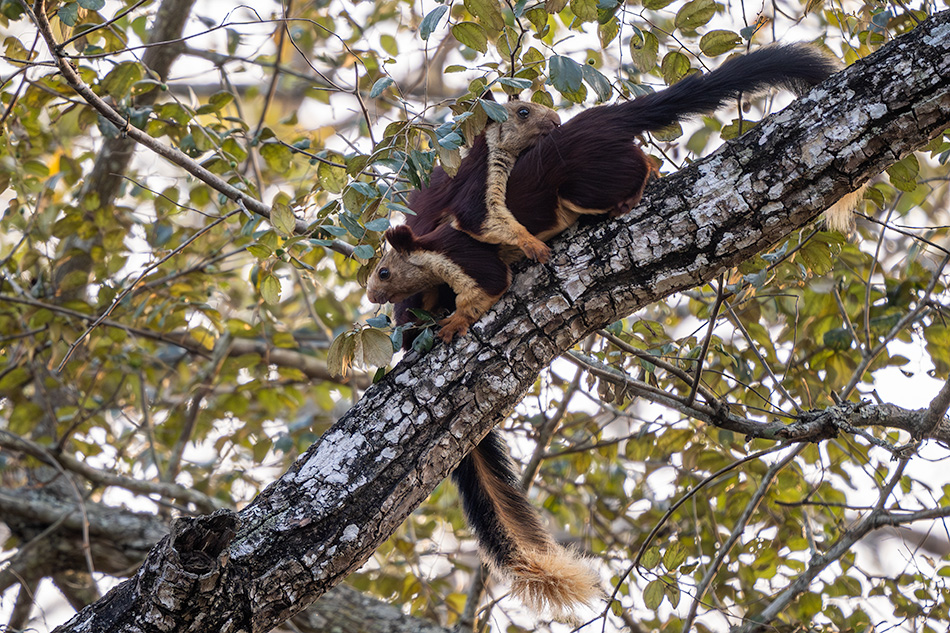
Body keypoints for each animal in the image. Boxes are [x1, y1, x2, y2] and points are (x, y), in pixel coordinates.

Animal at [364, 43, 840, 616]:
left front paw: (473, 302)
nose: (373, 293)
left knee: (637, 167)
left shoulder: (473, 230)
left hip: (585, 179)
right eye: (521, 110)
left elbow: (492, 268)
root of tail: (609, 119)